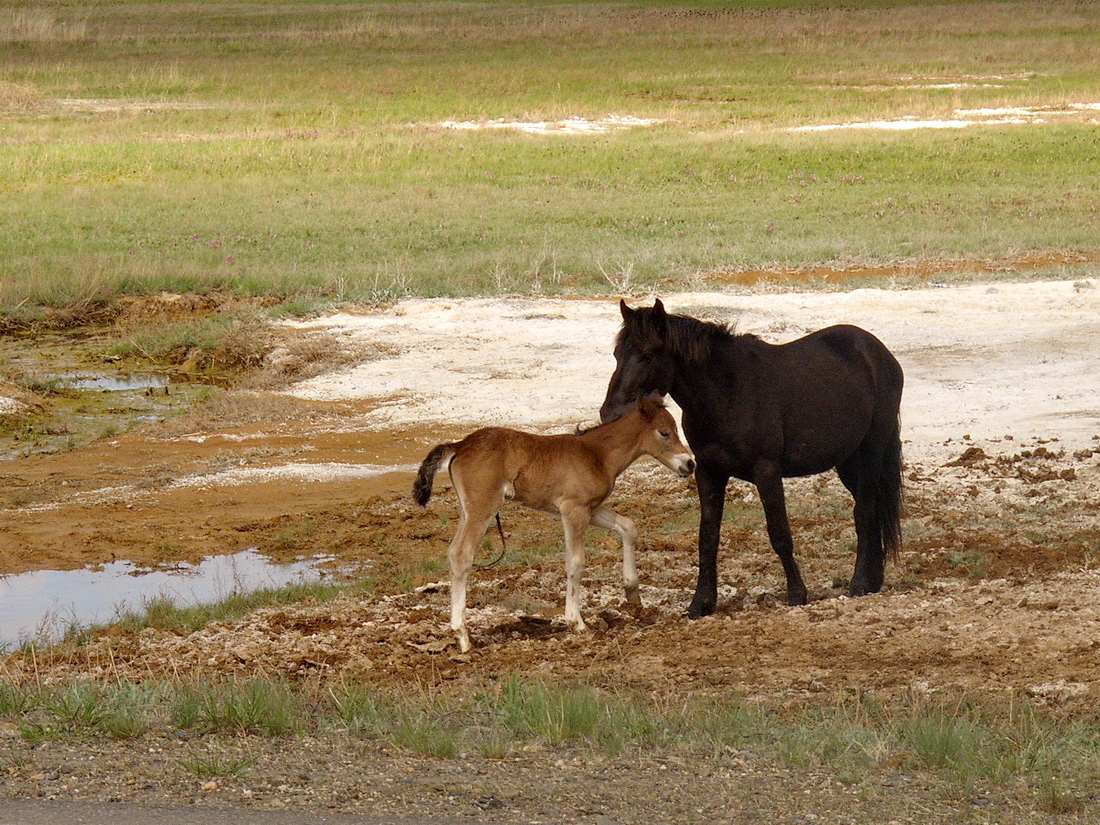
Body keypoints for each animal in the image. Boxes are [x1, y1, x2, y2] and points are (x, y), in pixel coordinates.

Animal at [602, 301, 902, 616]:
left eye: (647, 355)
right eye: (617, 354)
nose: (609, 413)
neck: (727, 392)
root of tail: (877, 351)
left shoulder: (767, 471)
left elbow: (780, 534)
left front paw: (797, 594)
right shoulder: (708, 472)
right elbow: (707, 537)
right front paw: (701, 602)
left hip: (871, 450)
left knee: (864, 510)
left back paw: (859, 583)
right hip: (847, 460)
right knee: (871, 508)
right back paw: (874, 580)